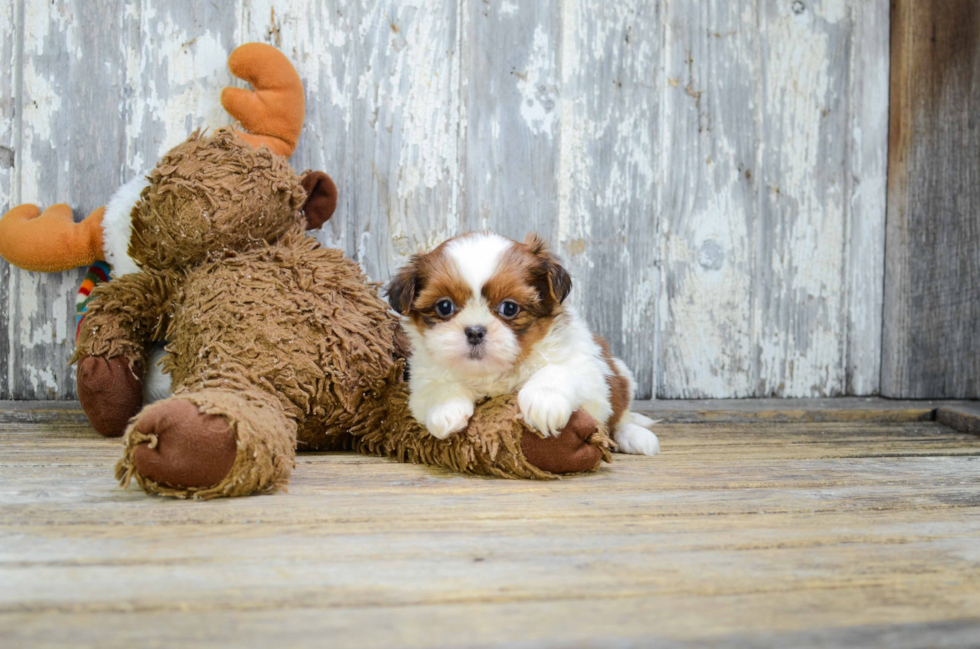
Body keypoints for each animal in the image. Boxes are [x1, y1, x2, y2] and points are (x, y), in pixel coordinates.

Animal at [386, 233, 664, 456]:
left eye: (509, 308)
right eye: (445, 306)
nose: (475, 331)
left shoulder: (592, 375)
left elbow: (559, 370)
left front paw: (543, 402)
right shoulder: (421, 381)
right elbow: (437, 388)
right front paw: (446, 410)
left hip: (621, 376)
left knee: (620, 415)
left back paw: (635, 436)